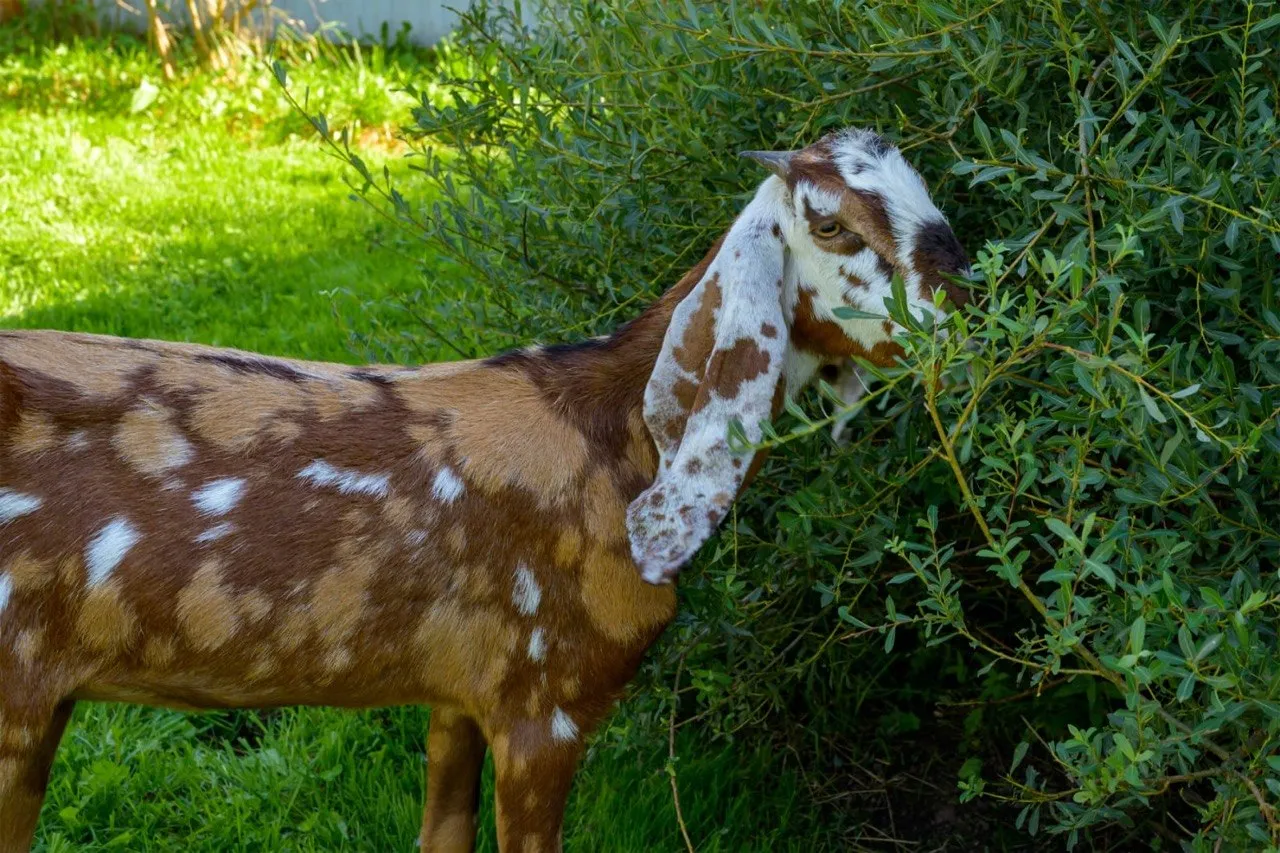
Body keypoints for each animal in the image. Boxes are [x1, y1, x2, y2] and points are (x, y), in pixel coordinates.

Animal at [0, 127, 969, 852]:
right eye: (832, 226)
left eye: (932, 202)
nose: (974, 311)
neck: (612, 445)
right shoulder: (543, 702)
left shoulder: (457, 689)